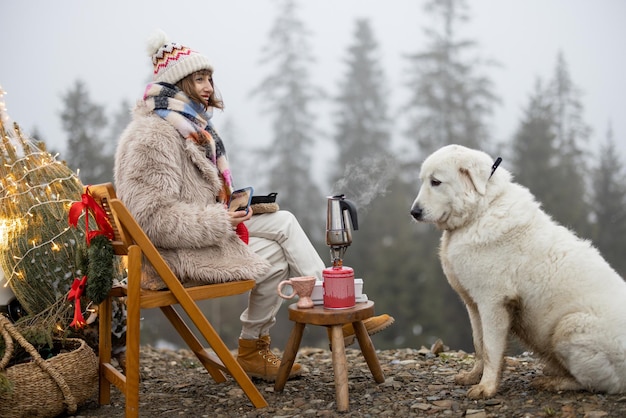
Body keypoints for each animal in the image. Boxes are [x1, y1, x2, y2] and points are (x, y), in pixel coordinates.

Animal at [408, 144, 624, 398]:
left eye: (436, 182)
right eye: (424, 181)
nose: (414, 212)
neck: (481, 211)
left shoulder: (493, 302)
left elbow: (490, 349)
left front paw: (487, 387)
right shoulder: (473, 304)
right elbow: (479, 344)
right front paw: (473, 377)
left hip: (570, 325)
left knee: (598, 384)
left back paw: (554, 382)